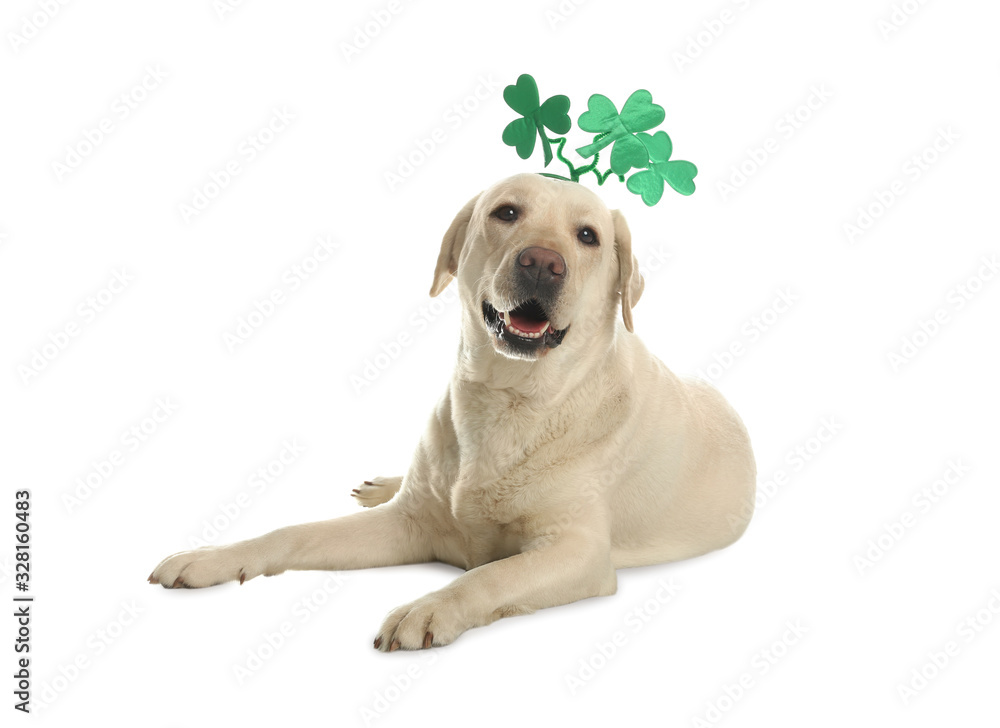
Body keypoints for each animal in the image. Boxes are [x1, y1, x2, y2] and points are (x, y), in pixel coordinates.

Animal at [148, 173, 752, 652]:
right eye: (506, 212)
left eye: (588, 236)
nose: (542, 263)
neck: (508, 399)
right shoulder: (405, 526)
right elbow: (292, 534)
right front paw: (214, 556)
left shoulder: (578, 552)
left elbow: (491, 577)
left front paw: (428, 607)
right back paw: (382, 484)